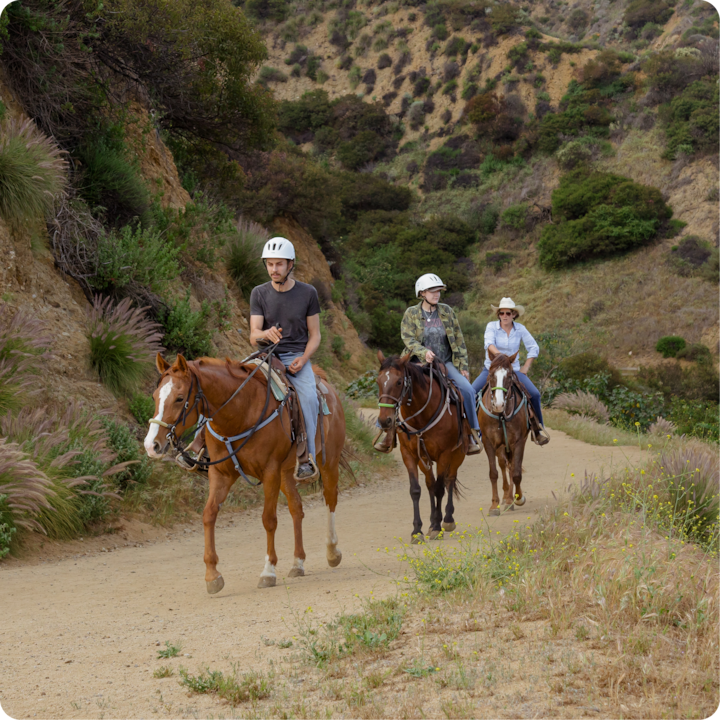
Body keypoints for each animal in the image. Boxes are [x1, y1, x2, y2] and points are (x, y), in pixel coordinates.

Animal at [143, 353, 345, 591]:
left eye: (179, 398)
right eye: (155, 396)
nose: (151, 445)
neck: (240, 413)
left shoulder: (270, 472)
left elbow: (269, 519)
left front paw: (268, 571)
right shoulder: (221, 474)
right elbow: (208, 515)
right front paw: (212, 575)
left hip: (328, 461)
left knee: (330, 499)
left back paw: (332, 552)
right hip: (286, 474)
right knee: (297, 508)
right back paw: (298, 563)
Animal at [376, 351, 468, 543]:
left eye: (399, 382)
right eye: (378, 381)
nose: (384, 420)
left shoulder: (444, 454)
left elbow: (440, 488)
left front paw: (437, 527)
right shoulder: (409, 454)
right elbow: (416, 490)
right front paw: (417, 530)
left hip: (458, 454)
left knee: (450, 480)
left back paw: (447, 519)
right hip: (424, 459)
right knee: (430, 484)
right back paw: (433, 521)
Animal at [476, 350, 530, 516]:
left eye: (510, 376)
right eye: (491, 375)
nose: (498, 405)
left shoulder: (519, 442)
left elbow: (516, 472)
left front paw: (518, 498)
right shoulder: (488, 442)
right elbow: (493, 473)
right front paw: (494, 505)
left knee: (511, 467)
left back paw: (510, 499)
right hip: (500, 446)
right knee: (502, 464)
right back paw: (506, 496)